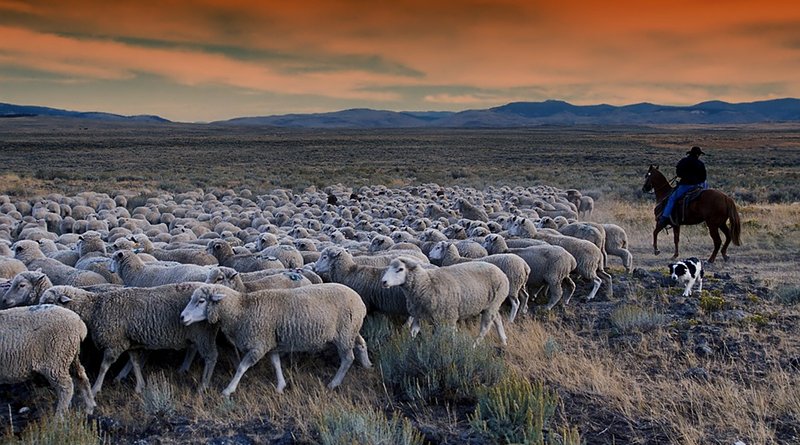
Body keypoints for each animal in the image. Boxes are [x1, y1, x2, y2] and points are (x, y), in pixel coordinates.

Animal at [39, 282, 217, 394]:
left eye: (49, 301)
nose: (38, 311)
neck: (95, 308)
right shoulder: (128, 342)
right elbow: (135, 362)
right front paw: (140, 386)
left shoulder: (114, 343)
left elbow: (104, 367)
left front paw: (96, 388)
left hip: (203, 334)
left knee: (211, 357)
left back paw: (203, 386)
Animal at [180, 282, 370, 394]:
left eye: (201, 301)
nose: (182, 317)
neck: (241, 309)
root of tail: (360, 301)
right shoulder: (270, 342)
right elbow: (276, 363)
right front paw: (280, 386)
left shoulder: (259, 344)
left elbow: (241, 367)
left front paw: (228, 390)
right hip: (351, 330)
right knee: (361, 344)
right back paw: (367, 365)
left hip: (344, 334)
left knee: (347, 358)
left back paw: (334, 383)